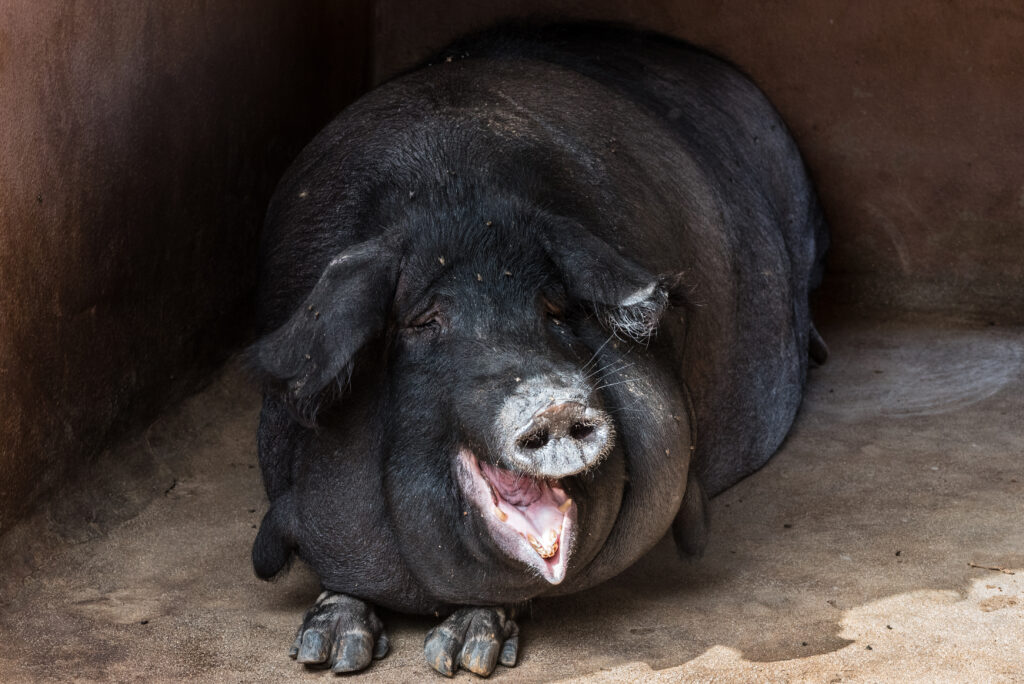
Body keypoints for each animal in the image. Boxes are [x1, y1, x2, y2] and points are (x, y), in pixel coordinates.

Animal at [248, 23, 829, 677]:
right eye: (425, 320)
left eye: (553, 308)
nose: (554, 404)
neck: (454, 192)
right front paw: (329, 655)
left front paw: (461, 657)